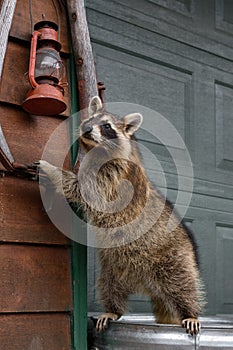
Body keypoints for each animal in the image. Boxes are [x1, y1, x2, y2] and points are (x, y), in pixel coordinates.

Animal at [39, 95, 205, 336]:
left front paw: (53, 171)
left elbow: (86, 191)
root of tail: (148, 285)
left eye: (107, 126)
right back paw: (113, 310)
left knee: (182, 285)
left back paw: (189, 311)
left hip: (174, 259)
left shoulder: (112, 176)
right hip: (114, 267)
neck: (97, 150)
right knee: (110, 287)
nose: (86, 129)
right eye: (90, 119)